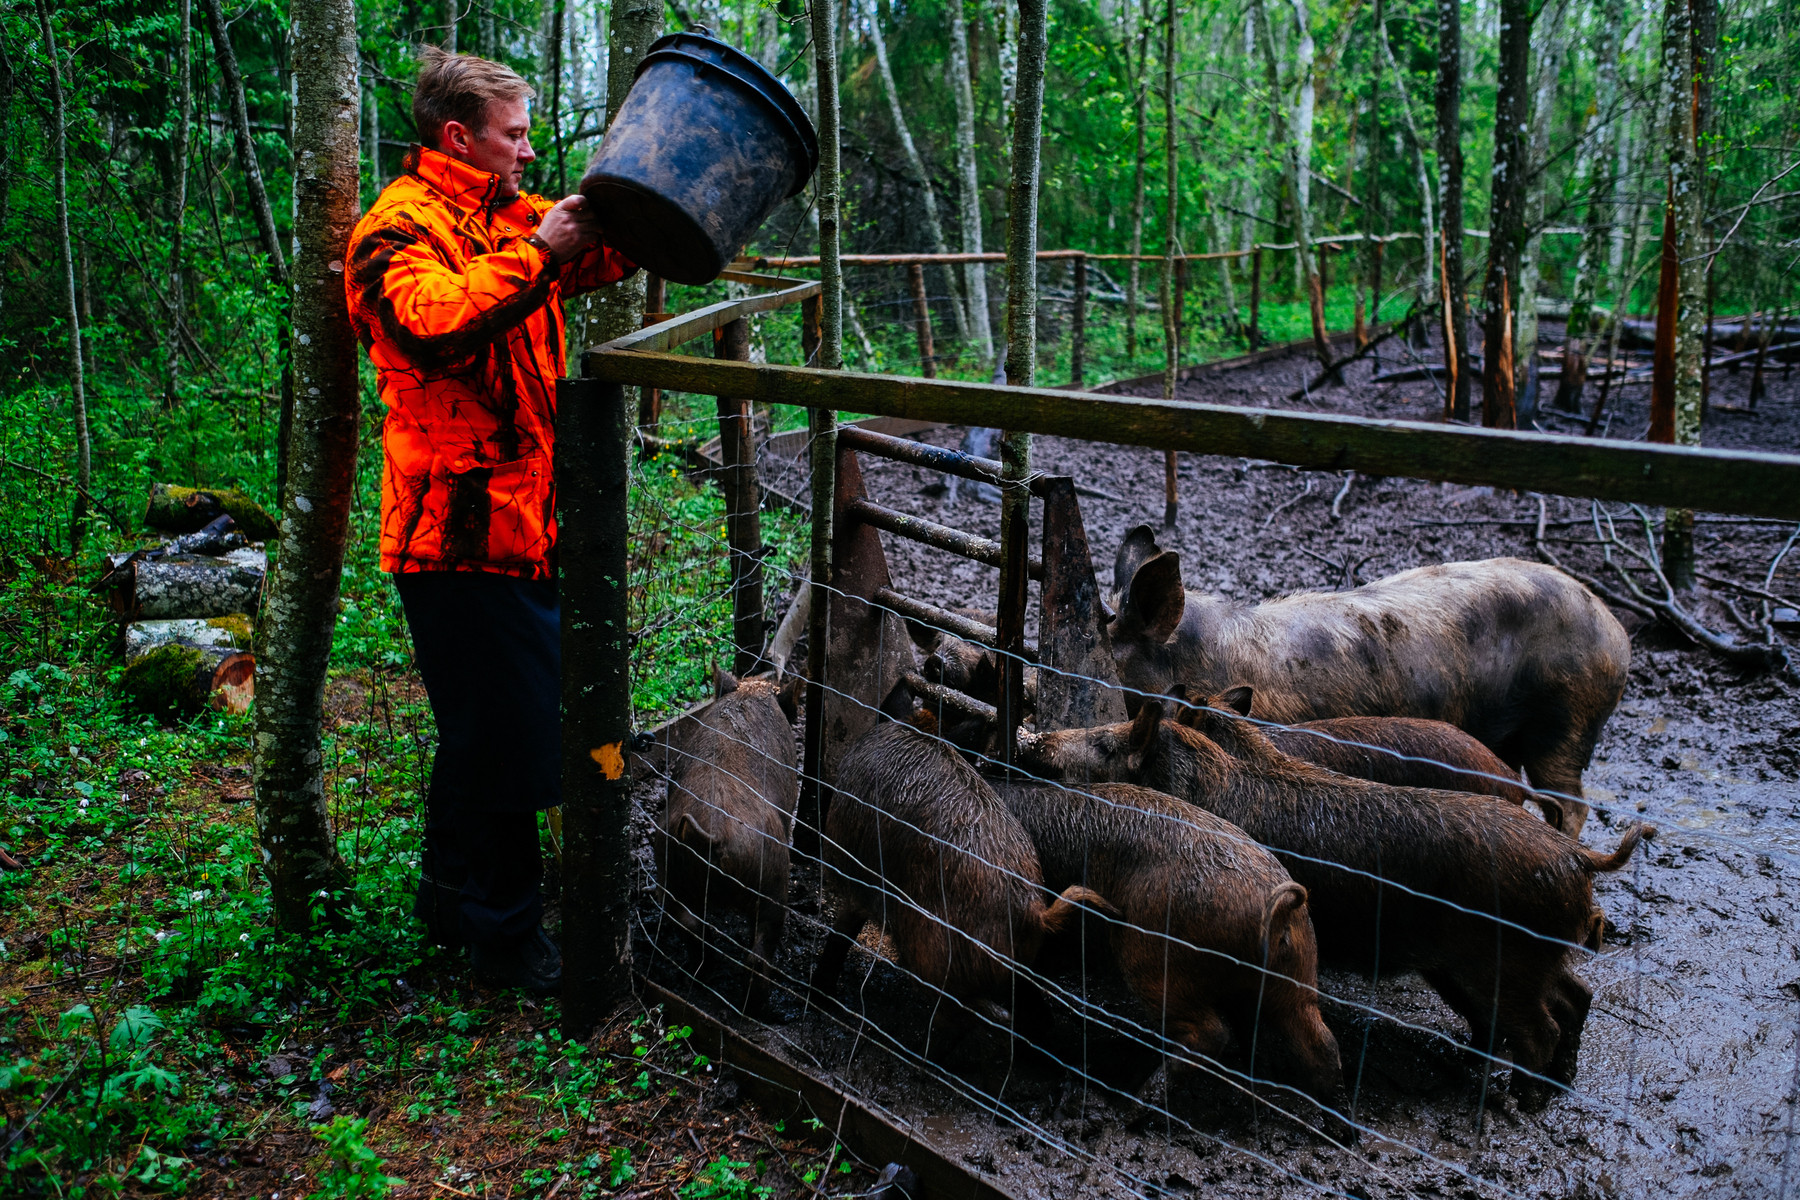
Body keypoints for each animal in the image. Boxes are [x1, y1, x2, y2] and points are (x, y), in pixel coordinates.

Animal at [659, 670, 802, 1014]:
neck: (751, 691)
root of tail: (713, 833)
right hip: (772, 875)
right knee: (758, 952)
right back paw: (758, 1011)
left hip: (667, 862)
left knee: (685, 920)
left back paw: (705, 968)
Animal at [811, 719, 1113, 1050]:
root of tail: (1035, 915)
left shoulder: (856, 878)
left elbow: (840, 934)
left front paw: (819, 996)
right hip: (1015, 968)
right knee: (1033, 1014)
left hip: (934, 960)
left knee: (966, 1016)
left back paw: (915, 1049)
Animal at [993, 777, 1344, 1106]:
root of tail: (1281, 906)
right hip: (1296, 974)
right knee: (1317, 1040)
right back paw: (1326, 1111)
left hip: (1149, 954)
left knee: (1211, 1033)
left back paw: (1136, 1104)